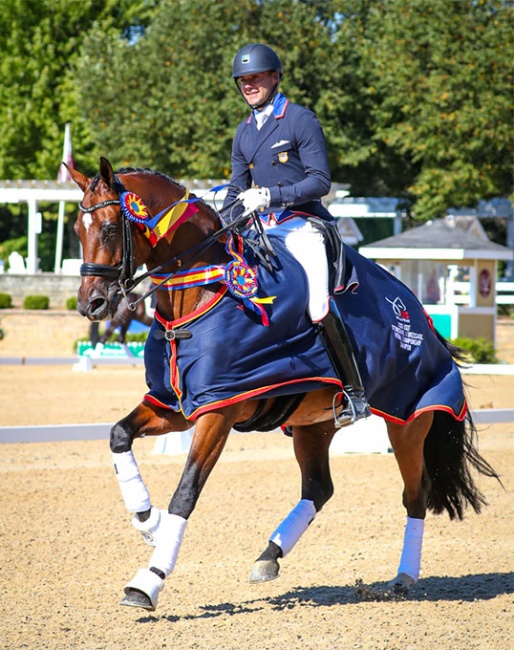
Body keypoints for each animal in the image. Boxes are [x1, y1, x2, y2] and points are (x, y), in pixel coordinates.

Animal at [68, 158, 496, 612]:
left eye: (109, 228)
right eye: (77, 229)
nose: (91, 304)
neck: (203, 292)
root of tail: (421, 314)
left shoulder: (218, 411)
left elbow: (186, 492)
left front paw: (148, 580)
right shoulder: (177, 405)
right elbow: (119, 435)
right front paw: (149, 521)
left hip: (407, 419)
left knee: (415, 492)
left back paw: (403, 577)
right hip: (314, 425)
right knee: (319, 488)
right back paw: (268, 557)